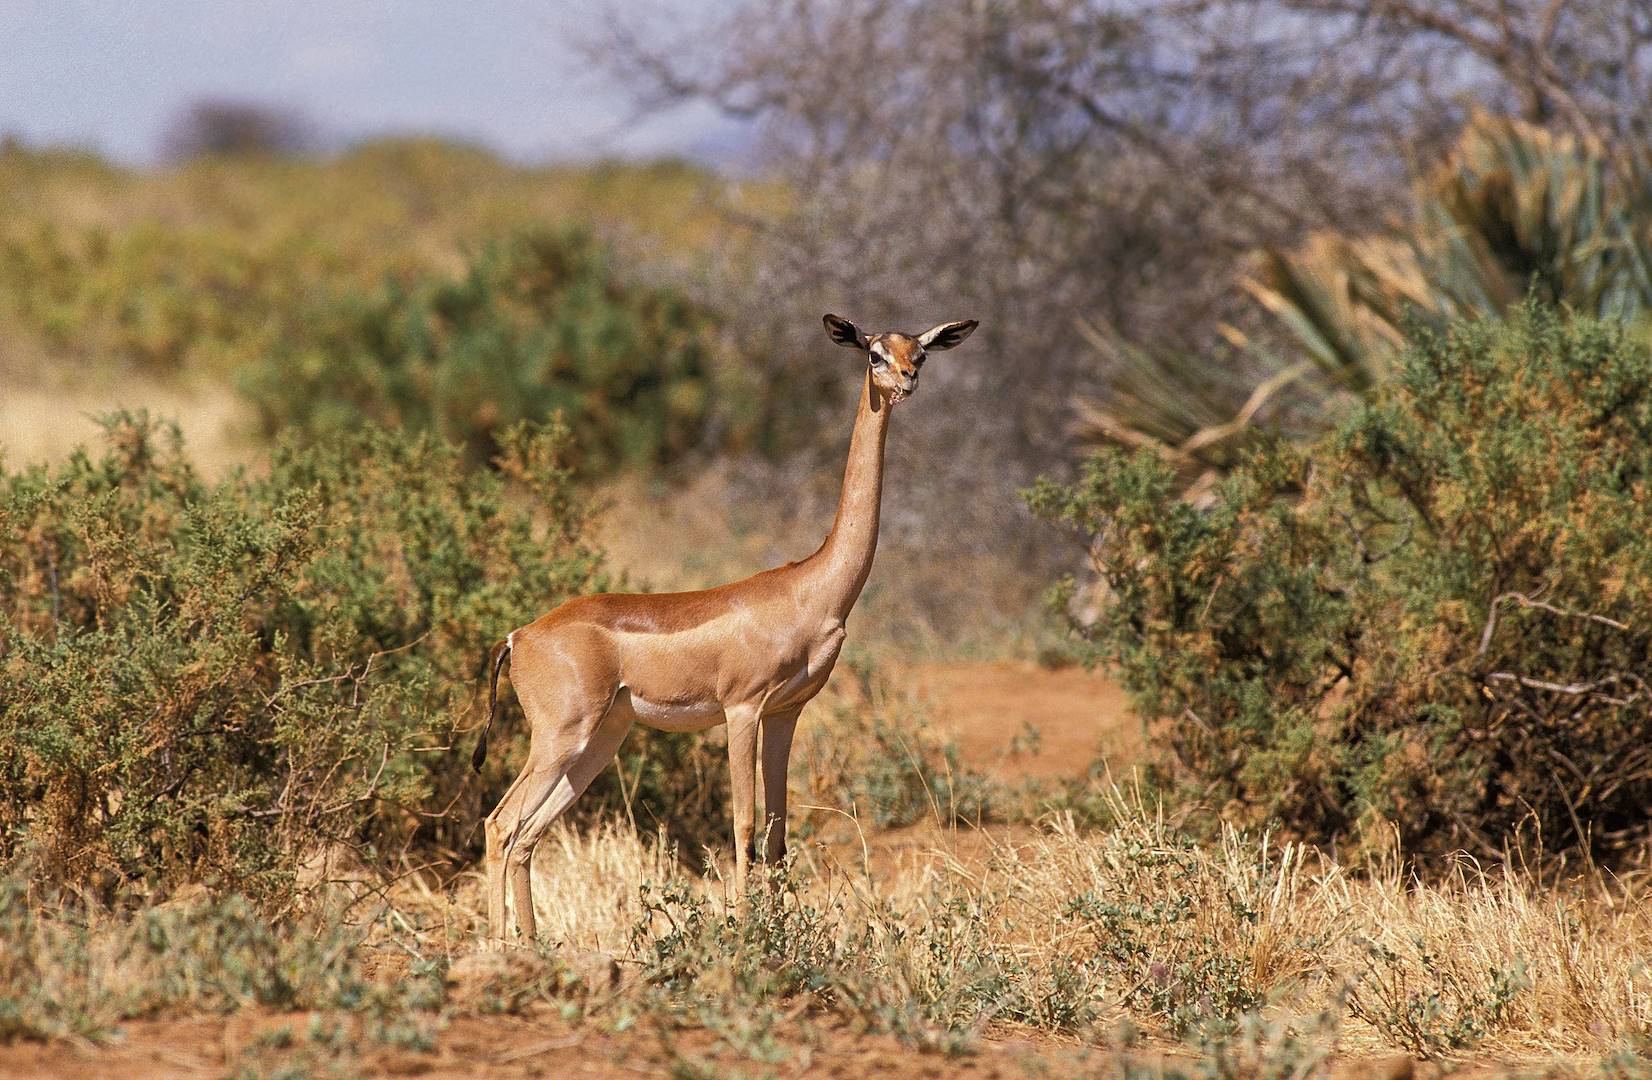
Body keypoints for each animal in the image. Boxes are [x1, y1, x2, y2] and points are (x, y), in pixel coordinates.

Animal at [472, 312, 979, 941]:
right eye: (873, 354)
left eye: (921, 352)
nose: (908, 380)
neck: (811, 590)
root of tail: (519, 637)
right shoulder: (742, 709)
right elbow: (743, 824)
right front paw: (747, 932)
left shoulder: (787, 712)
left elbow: (778, 831)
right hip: (560, 738)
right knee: (500, 824)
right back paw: (500, 947)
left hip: (599, 740)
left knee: (528, 835)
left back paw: (536, 947)